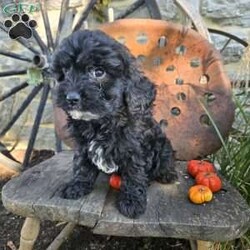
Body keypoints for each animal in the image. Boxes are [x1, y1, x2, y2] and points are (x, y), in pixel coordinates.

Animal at [52, 29, 178, 219]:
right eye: (65, 71)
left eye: (99, 72)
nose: (71, 98)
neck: (100, 122)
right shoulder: (82, 144)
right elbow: (82, 164)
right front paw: (77, 186)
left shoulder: (135, 149)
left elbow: (134, 173)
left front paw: (132, 201)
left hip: (163, 146)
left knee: (165, 160)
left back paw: (167, 174)